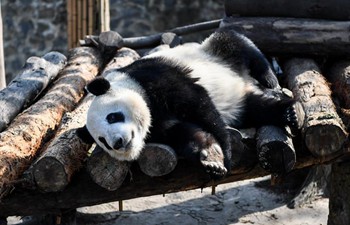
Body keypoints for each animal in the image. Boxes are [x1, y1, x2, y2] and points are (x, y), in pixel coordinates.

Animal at [76, 27, 298, 178]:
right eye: (103, 141)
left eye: (113, 117)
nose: (118, 143)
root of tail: (245, 83)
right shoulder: (159, 127)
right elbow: (184, 132)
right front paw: (211, 158)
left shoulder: (155, 76)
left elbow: (198, 105)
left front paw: (226, 153)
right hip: (240, 103)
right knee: (256, 109)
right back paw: (285, 113)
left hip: (214, 53)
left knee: (235, 43)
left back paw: (270, 79)